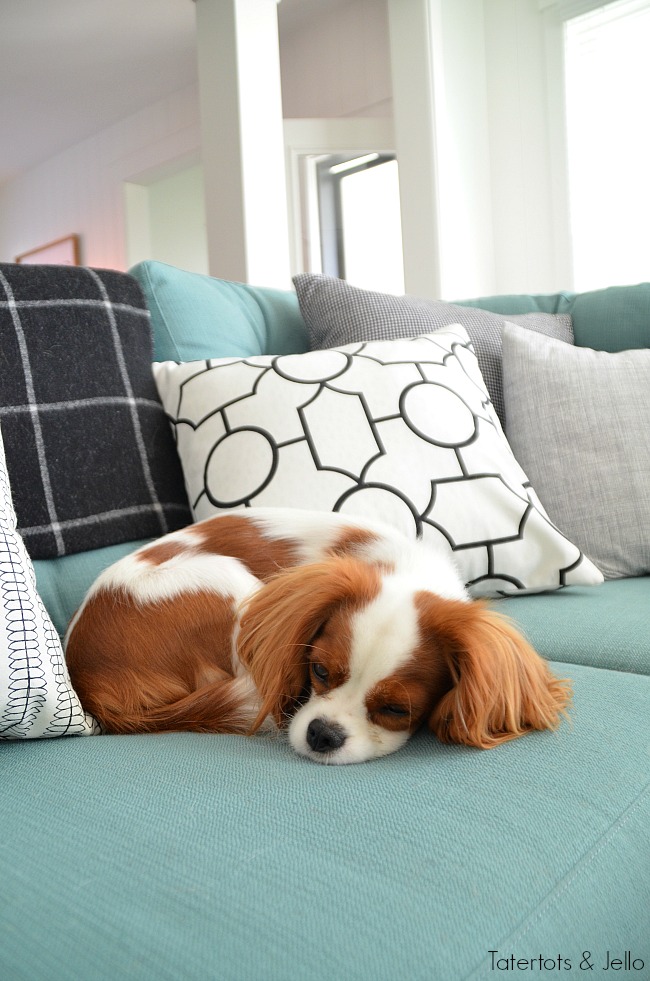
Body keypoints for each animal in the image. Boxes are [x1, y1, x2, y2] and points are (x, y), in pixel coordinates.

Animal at [66, 510, 568, 760]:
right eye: (319, 672)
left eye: (396, 710)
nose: (322, 735)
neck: (403, 568)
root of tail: (90, 681)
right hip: (226, 578)